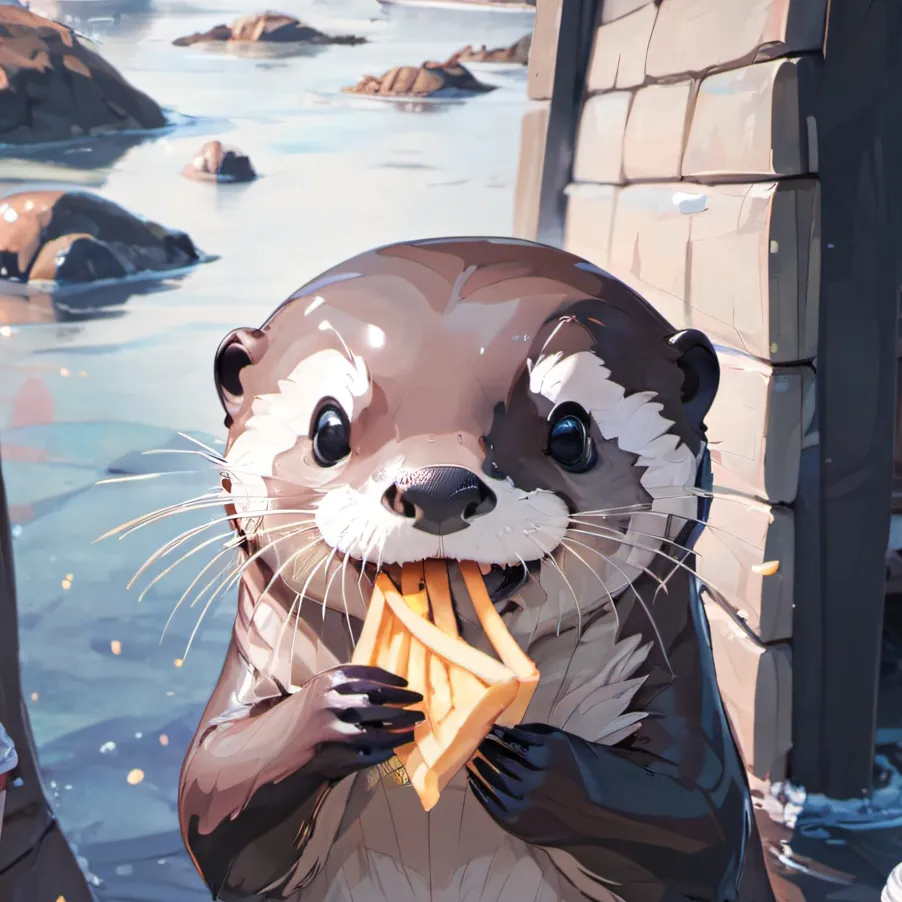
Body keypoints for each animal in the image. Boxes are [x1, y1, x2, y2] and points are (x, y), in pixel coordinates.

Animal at [176, 238, 776, 902]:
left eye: (570, 430)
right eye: (328, 428)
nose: (438, 486)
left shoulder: (682, 702)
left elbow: (698, 819)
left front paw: (521, 761)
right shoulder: (252, 676)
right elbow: (212, 792)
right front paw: (344, 706)